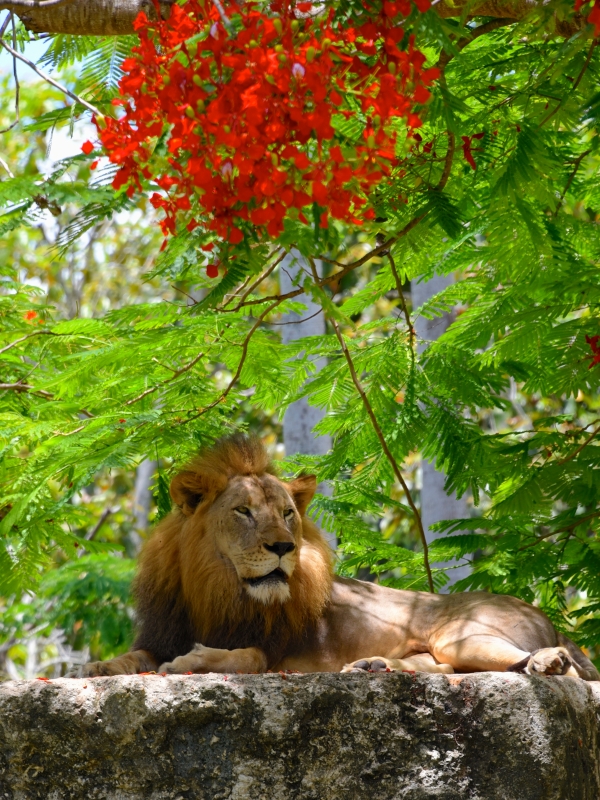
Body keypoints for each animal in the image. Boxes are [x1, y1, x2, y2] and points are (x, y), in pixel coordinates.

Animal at [81, 432, 600, 680]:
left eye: (287, 515)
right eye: (244, 512)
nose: (283, 547)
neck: (217, 587)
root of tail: (549, 620)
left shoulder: (279, 652)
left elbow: (246, 656)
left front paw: (196, 660)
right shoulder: (164, 630)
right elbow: (137, 655)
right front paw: (101, 667)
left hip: (462, 634)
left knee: (544, 666)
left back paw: (546, 662)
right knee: (444, 668)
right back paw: (374, 667)